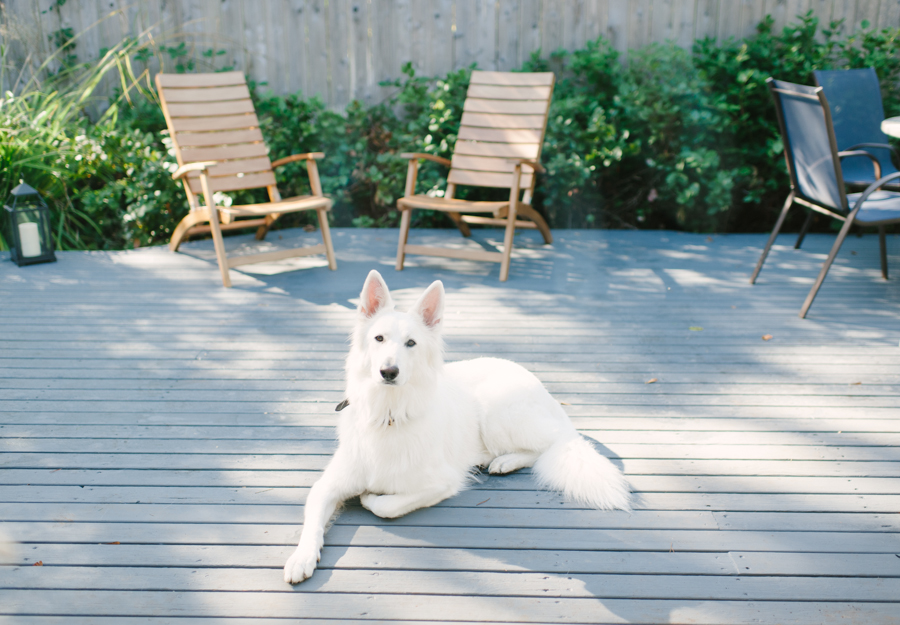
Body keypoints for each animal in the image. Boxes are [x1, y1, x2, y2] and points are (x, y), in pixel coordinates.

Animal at [284, 270, 628, 584]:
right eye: (379, 338)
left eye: (411, 343)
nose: (388, 372)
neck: (388, 413)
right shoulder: (327, 486)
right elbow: (312, 521)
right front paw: (301, 558)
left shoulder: (441, 483)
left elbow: (387, 506)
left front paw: (370, 498)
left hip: (493, 408)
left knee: (547, 446)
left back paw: (504, 461)